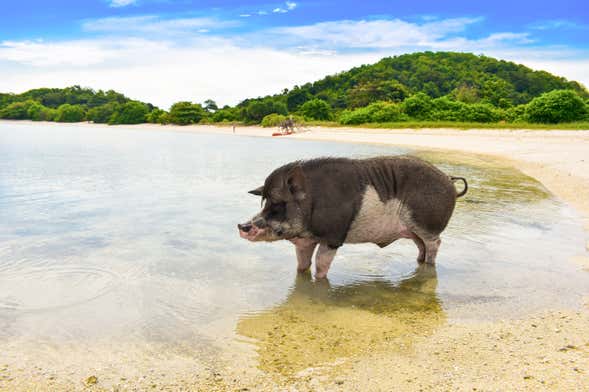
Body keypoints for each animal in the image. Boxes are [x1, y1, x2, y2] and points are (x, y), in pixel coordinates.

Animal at [237, 156, 466, 278]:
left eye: (278, 203)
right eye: (265, 203)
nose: (241, 226)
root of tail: (450, 180)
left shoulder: (334, 237)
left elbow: (321, 264)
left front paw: (320, 281)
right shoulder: (305, 241)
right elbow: (302, 265)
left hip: (427, 224)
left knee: (435, 243)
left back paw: (429, 266)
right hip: (413, 230)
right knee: (421, 246)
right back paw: (420, 263)